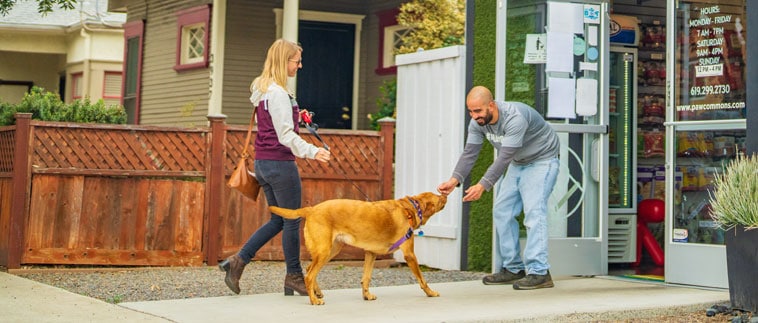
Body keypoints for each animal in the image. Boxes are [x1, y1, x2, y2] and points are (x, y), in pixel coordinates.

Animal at [270, 192, 448, 306]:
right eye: (438, 197)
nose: (445, 194)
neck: (410, 209)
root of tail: (311, 209)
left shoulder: (371, 253)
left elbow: (366, 278)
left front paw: (366, 295)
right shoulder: (410, 255)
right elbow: (422, 279)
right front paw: (430, 293)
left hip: (331, 250)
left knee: (309, 270)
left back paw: (317, 293)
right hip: (325, 251)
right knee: (309, 276)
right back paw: (314, 300)